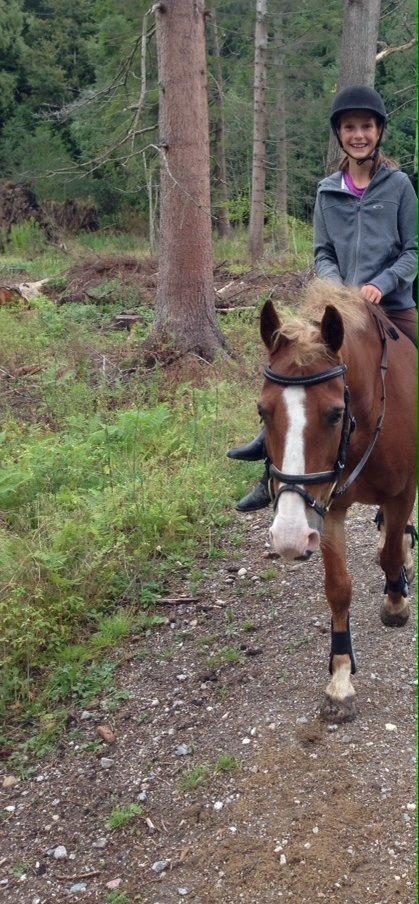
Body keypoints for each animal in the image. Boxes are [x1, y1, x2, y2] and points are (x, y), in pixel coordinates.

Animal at [260, 280, 416, 720]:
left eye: (333, 413)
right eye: (262, 411)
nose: (289, 538)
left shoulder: (403, 491)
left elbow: (390, 556)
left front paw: (395, 603)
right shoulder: (327, 506)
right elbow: (338, 588)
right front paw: (341, 678)